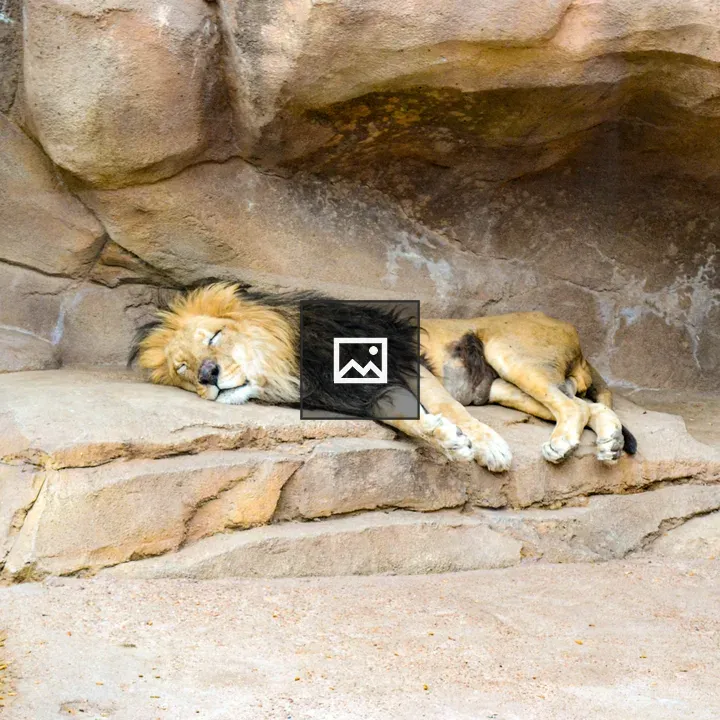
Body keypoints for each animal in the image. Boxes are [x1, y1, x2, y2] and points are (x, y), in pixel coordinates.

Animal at [130, 283, 636, 473]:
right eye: (182, 369)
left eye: (215, 336)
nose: (208, 374)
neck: (288, 364)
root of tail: (572, 330)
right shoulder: (356, 392)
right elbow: (401, 416)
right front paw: (447, 441)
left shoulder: (407, 360)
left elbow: (450, 408)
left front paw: (488, 447)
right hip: (504, 387)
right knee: (587, 405)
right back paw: (609, 444)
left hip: (506, 352)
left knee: (572, 405)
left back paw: (562, 444)